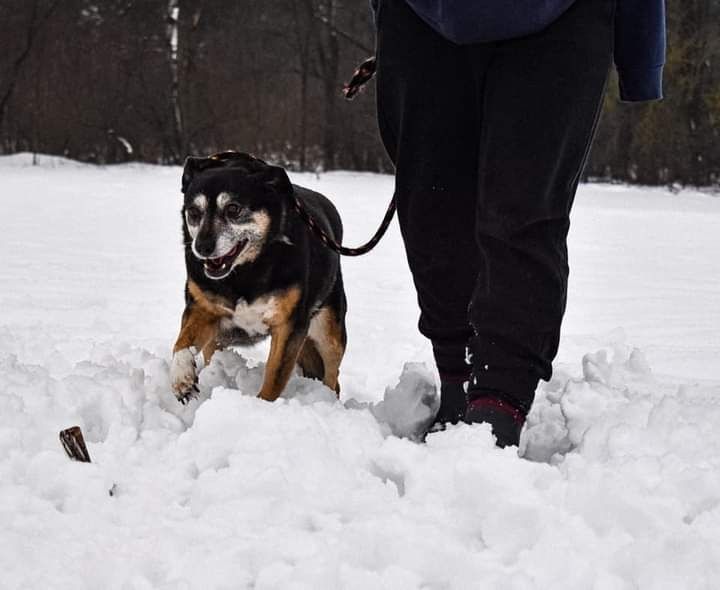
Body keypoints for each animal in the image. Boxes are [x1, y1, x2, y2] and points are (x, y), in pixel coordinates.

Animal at [170, 153, 348, 404]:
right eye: (194, 212)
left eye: (233, 209)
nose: (202, 247)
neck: (246, 272)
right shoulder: (203, 307)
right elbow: (182, 342)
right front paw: (181, 377)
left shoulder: (289, 324)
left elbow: (275, 376)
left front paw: (261, 406)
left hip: (329, 329)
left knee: (332, 374)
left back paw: (328, 399)